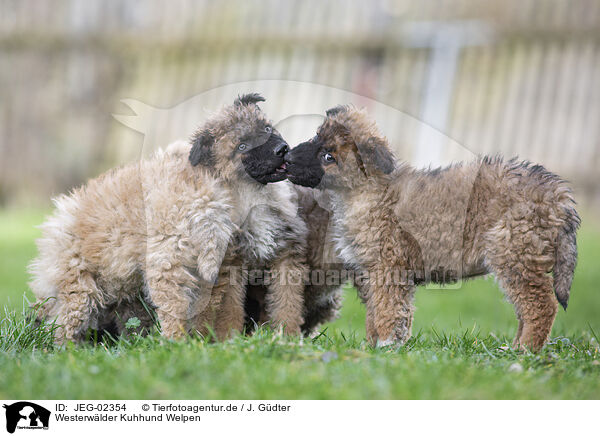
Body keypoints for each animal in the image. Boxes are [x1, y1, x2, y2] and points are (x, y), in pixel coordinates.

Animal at [29, 93, 308, 342]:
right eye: (242, 146)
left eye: (268, 128)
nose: (282, 149)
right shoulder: (173, 264)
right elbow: (183, 308)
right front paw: (182, 343)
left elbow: (282, 303)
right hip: (80, 289)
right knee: (62, 327)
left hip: (125, 291)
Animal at [286, 106, 580, 354]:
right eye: (315, 138)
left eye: (328, 157)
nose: (286, 156)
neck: (364, 191)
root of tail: (557, 195)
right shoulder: (374, 273)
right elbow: (378, 314)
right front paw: (375, 346)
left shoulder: (389, 268)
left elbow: (388, 311)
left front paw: (385, 346)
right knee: (526, 309)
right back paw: (513, 347)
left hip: (515, 254)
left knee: (540, 305)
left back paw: (525, 350)